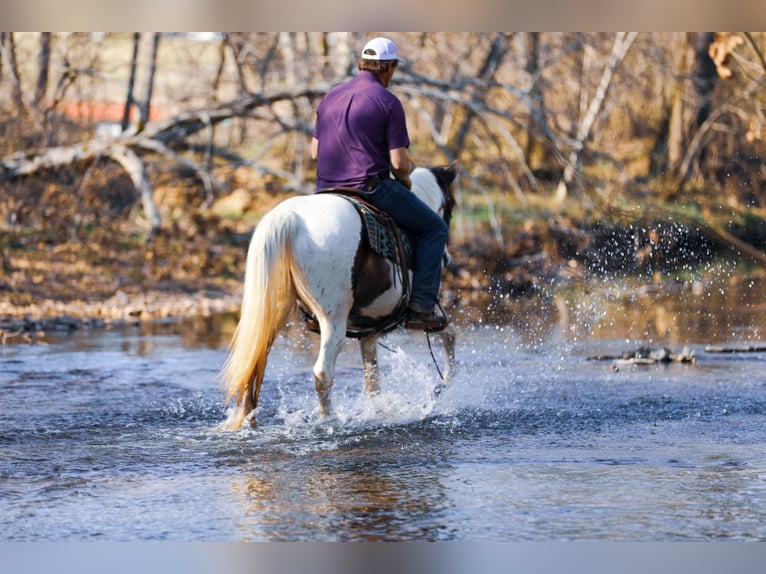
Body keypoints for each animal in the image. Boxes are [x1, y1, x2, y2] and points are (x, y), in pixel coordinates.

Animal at [219, 162, 459, 430]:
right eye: (451, 206)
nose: (447, 258)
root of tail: (289, 218)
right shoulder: (430, 313)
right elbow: (450, 336)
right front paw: (440, 386)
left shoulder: (370, 331)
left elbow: (372, 379)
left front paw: (377, 411)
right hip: (332, 320)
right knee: (322, 373)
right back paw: (329, 420)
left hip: (272, 311)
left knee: (254, 363)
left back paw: (247, 421)